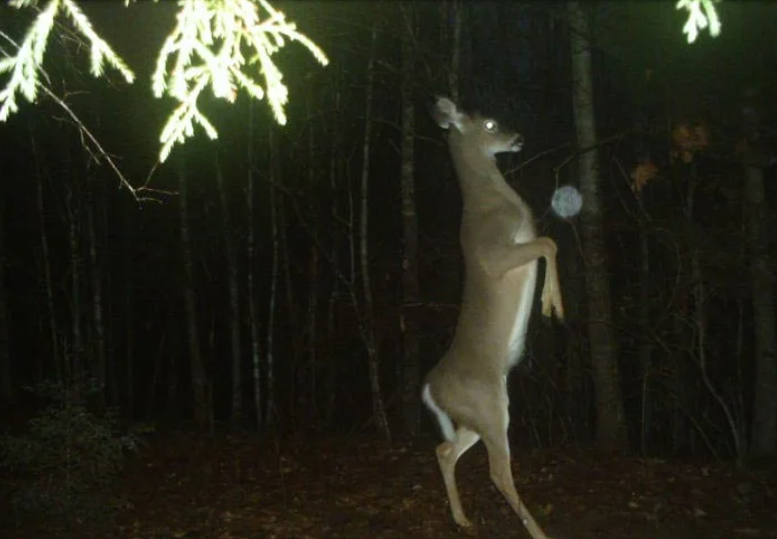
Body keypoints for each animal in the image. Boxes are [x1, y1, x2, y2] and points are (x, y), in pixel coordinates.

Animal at [424, 98, 564, 539]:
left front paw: (551, 304)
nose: (517, 137)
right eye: (489, 124)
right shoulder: (495, 252)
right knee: (497, 472)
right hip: (488, 406)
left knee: (445, 449)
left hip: (477, 414)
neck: (494, 200)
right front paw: (553, 306)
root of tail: (430, 389)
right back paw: (538, 532)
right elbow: (548, 241)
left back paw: (462, 519)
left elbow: (548, 241)